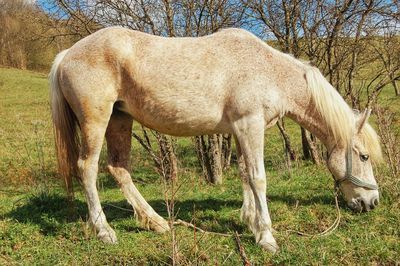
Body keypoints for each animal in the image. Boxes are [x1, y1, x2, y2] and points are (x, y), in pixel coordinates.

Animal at [49, 27, 382, 254]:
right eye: (364, 156)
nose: (372, 203)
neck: (268, 70)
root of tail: (67, 54)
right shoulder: (250, 125)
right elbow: (259, 178)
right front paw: (267, 237)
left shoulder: (241, 129)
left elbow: (245, 174)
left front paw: (250, 221)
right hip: (96, 121)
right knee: (88, 168)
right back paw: (104, 230)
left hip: (119, 119)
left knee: (119, 169)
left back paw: (156, 222)